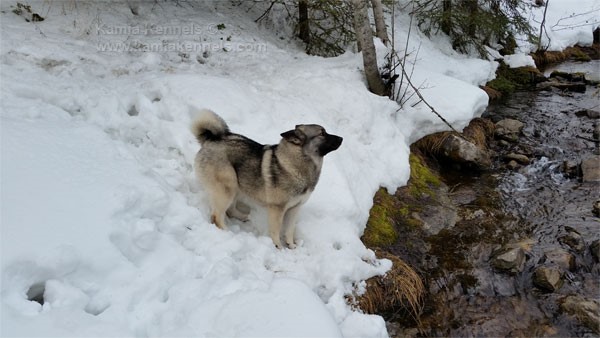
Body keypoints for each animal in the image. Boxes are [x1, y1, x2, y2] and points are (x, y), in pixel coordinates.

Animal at [191, 110, 342, 248]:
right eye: (322, 133)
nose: (341, 138)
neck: (296, 164)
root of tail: (211, 140)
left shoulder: (294, 208)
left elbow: (289, 230)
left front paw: (291, 246)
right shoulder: (277, 210)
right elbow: (276, 230)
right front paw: (278, 247)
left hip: (236, 186)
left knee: (230, 210)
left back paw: (245, 217)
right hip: (227, 187)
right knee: (217, 216)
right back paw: (227, 233)